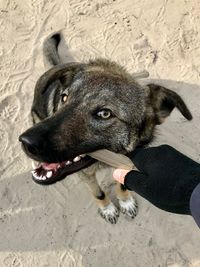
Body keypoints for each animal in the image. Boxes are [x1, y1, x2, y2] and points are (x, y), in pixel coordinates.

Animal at [18, 34, 192, 226]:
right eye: (64, 97)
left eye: (105, 113)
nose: (25, 142)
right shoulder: (86, 175)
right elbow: (99, 193)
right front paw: (108, 209)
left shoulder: (125, 164)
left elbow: (122, 183)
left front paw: (125, 201)